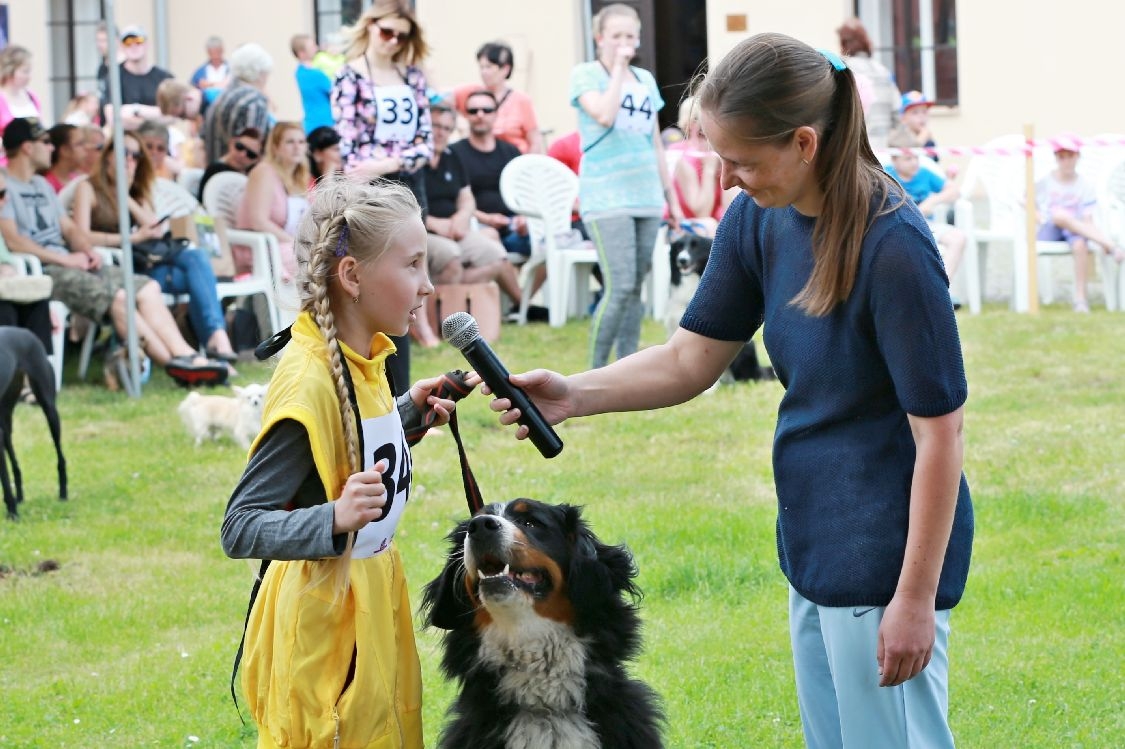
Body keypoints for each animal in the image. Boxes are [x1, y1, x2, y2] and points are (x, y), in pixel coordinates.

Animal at [0, 328, 66, 519]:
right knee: (15, 465)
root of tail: (26, 332)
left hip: (49, 409)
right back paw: (20, 497)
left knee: (60, 457)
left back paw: (63, 494)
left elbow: (4, 481)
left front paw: (13, 514)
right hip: (6, 423)